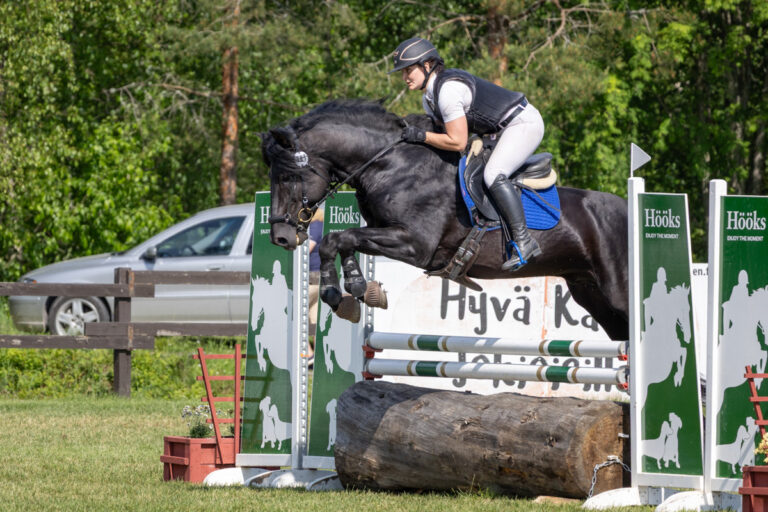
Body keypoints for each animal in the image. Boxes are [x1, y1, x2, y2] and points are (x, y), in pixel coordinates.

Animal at [262, 100, 629, 341]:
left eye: (287, 176)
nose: (281, 237)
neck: (390, 165)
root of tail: (626, 209)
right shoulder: (384, 232)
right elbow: (342, 240)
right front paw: (354, 290)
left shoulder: (414, 244)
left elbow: (336, 239)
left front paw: (339, 290)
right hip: (590, 293)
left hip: (617, 291)